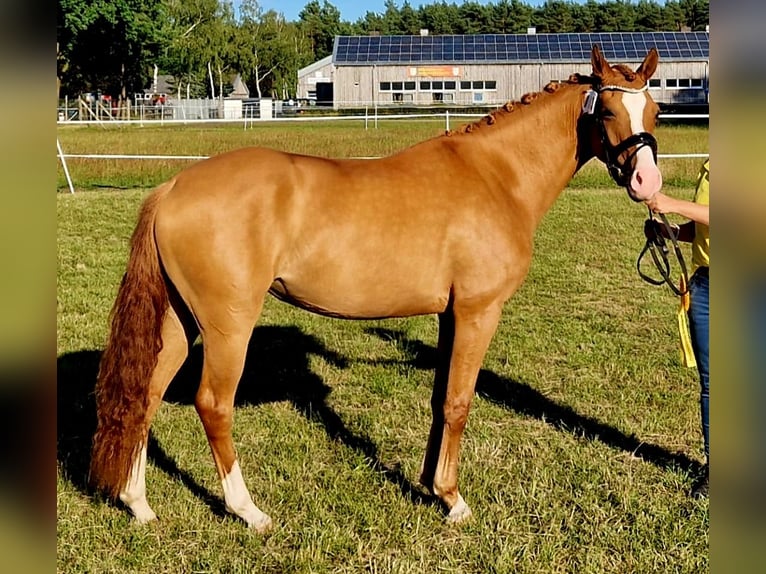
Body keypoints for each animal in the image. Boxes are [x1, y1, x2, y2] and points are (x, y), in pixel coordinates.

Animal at [90, 45, 664, 532]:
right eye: (607, 112)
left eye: (655, 111)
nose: (647, 183)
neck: (496, 175)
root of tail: (173, 187)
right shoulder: (478, 312)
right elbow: (460, 401)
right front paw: (454, 500)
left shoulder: (449, 315)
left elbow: (439, 399)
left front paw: (431, 486)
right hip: (228, 324)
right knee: (213, 404)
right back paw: (248, 511)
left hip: (179, 322)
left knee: (146, 395)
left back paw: (138, 504)